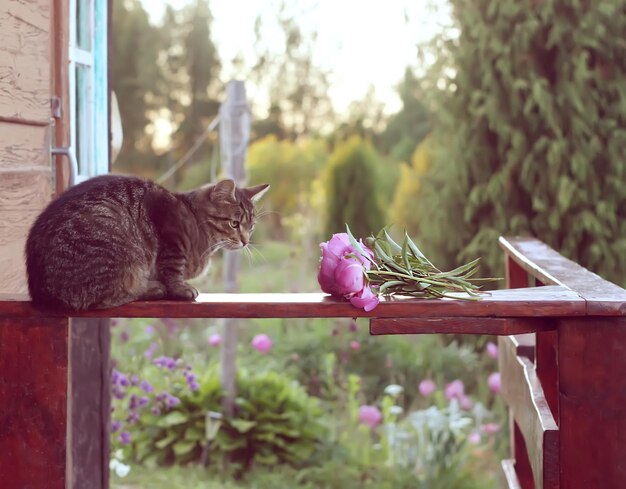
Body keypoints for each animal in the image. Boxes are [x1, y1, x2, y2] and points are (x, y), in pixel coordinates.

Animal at [24, 175, 266, 310]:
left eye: (251, 226)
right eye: (234, 223)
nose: (245, 241)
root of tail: (41, 292)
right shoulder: (171, 236)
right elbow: (172, 269)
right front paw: (180, 289)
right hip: (112, 233)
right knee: (102, 298)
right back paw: (152, 288)